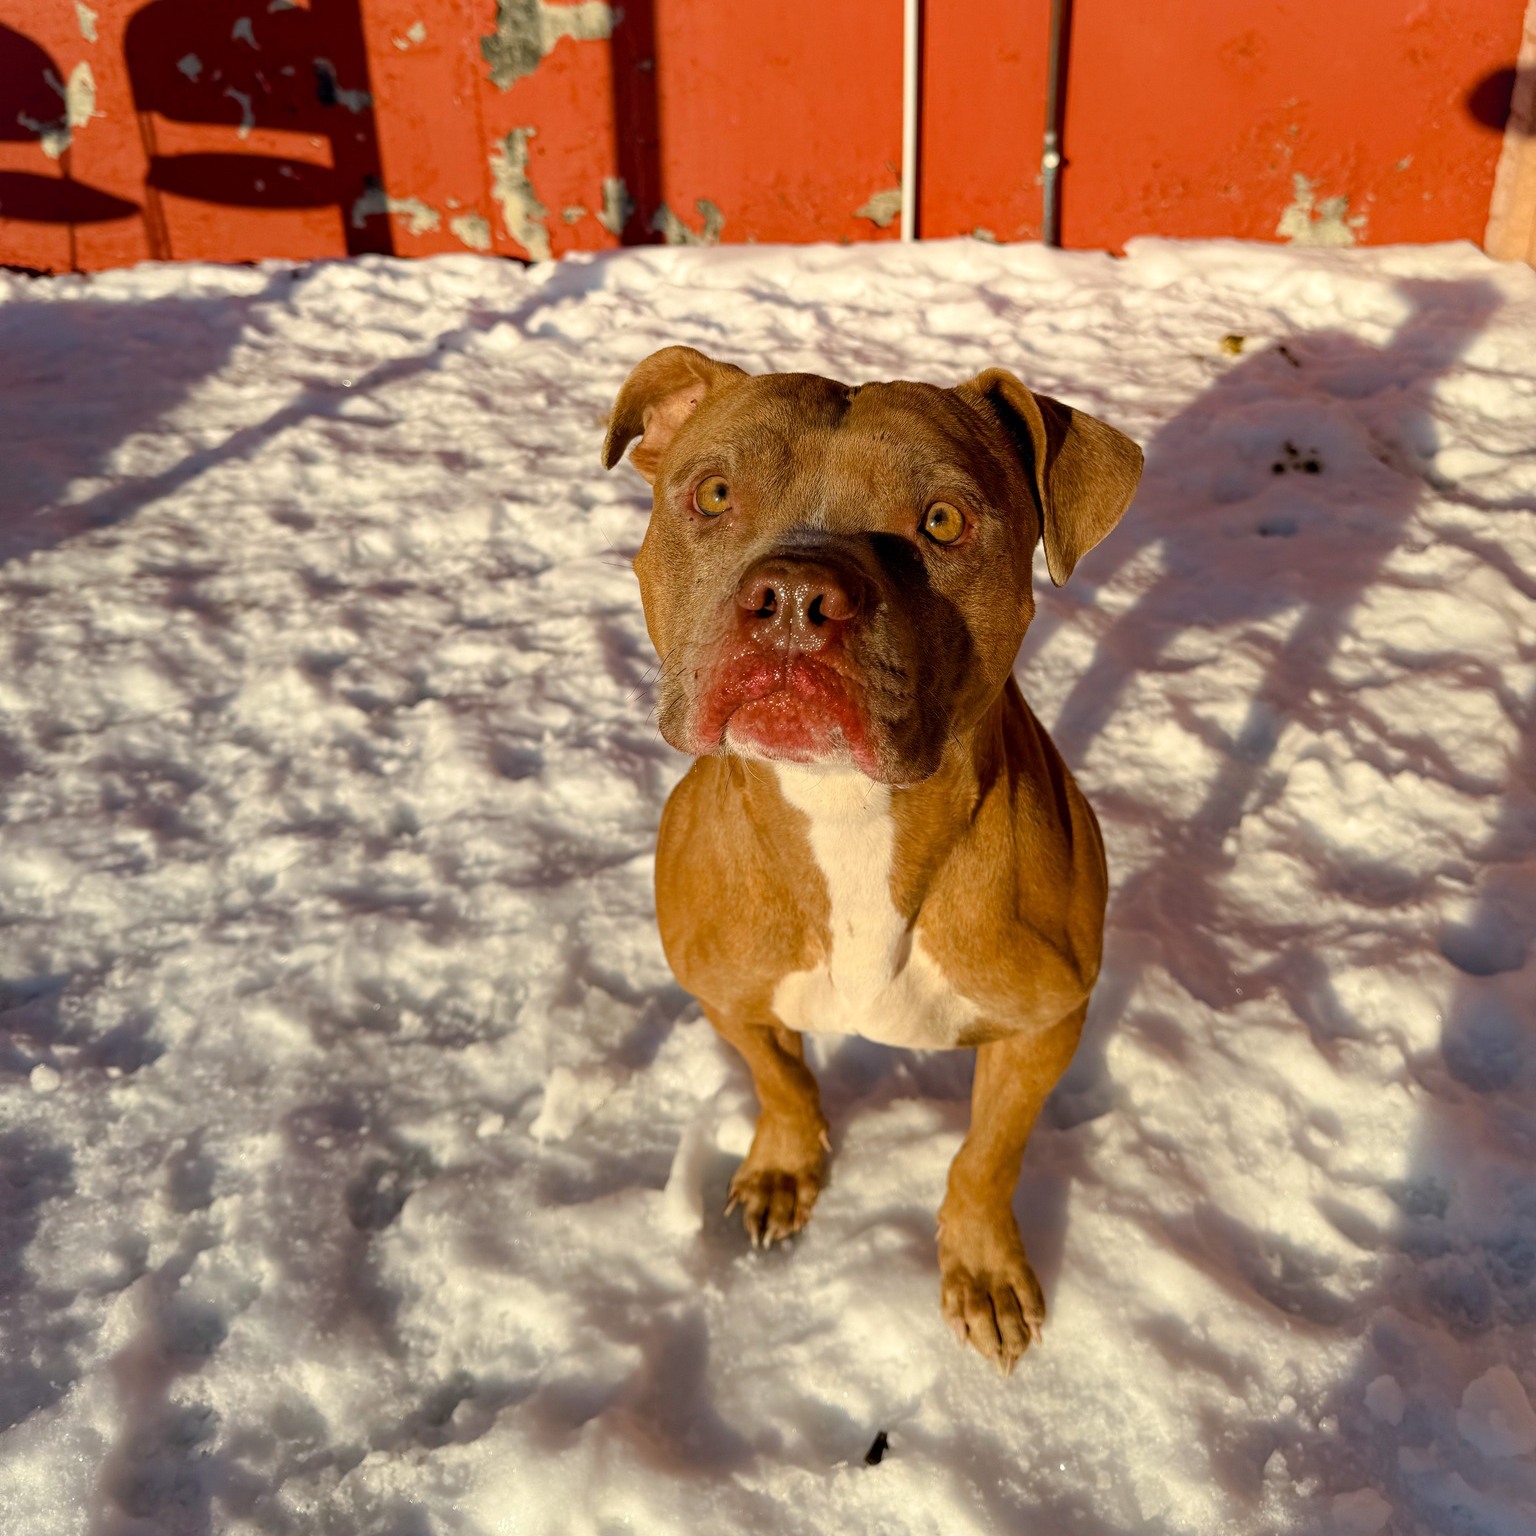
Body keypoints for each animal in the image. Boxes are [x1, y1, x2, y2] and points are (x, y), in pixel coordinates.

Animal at [599, 345, 1142, 1370]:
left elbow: (987, 1155)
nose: (793, 598)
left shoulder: (1044, 1026)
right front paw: (783, 1168)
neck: (846, 810)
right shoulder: (724, 989)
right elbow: (782, 1080)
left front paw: (982, 1268)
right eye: (714, 494)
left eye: (943, 521)